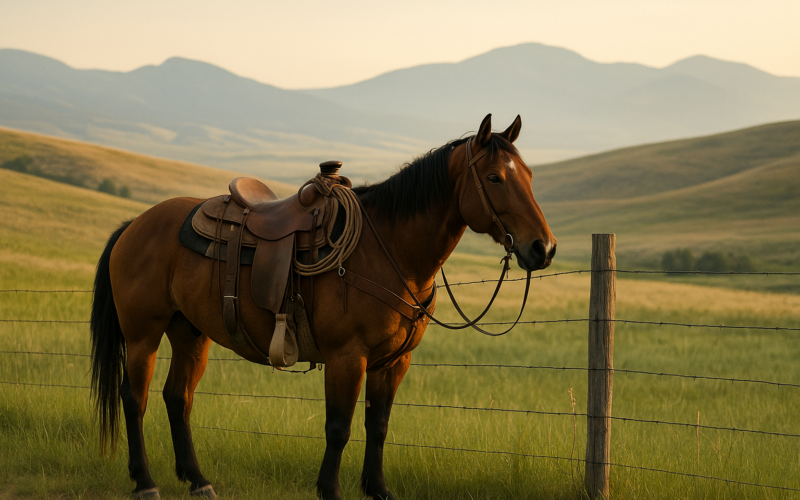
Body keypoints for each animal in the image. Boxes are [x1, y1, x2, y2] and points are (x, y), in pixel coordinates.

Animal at [90, 114, 556, 500]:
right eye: (495, 178)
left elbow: (378, 425)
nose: (544, 248)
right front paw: (329, 490)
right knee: (135, 398)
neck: (389, 252)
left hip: (190, 333)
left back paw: (198, 480)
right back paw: (145, 483)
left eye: (530, 175)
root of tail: (134, 224)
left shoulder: (394, 362)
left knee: (178, 397)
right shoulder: (347, 358)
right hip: (143, 334)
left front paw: (377, 489)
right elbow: (339, 427)